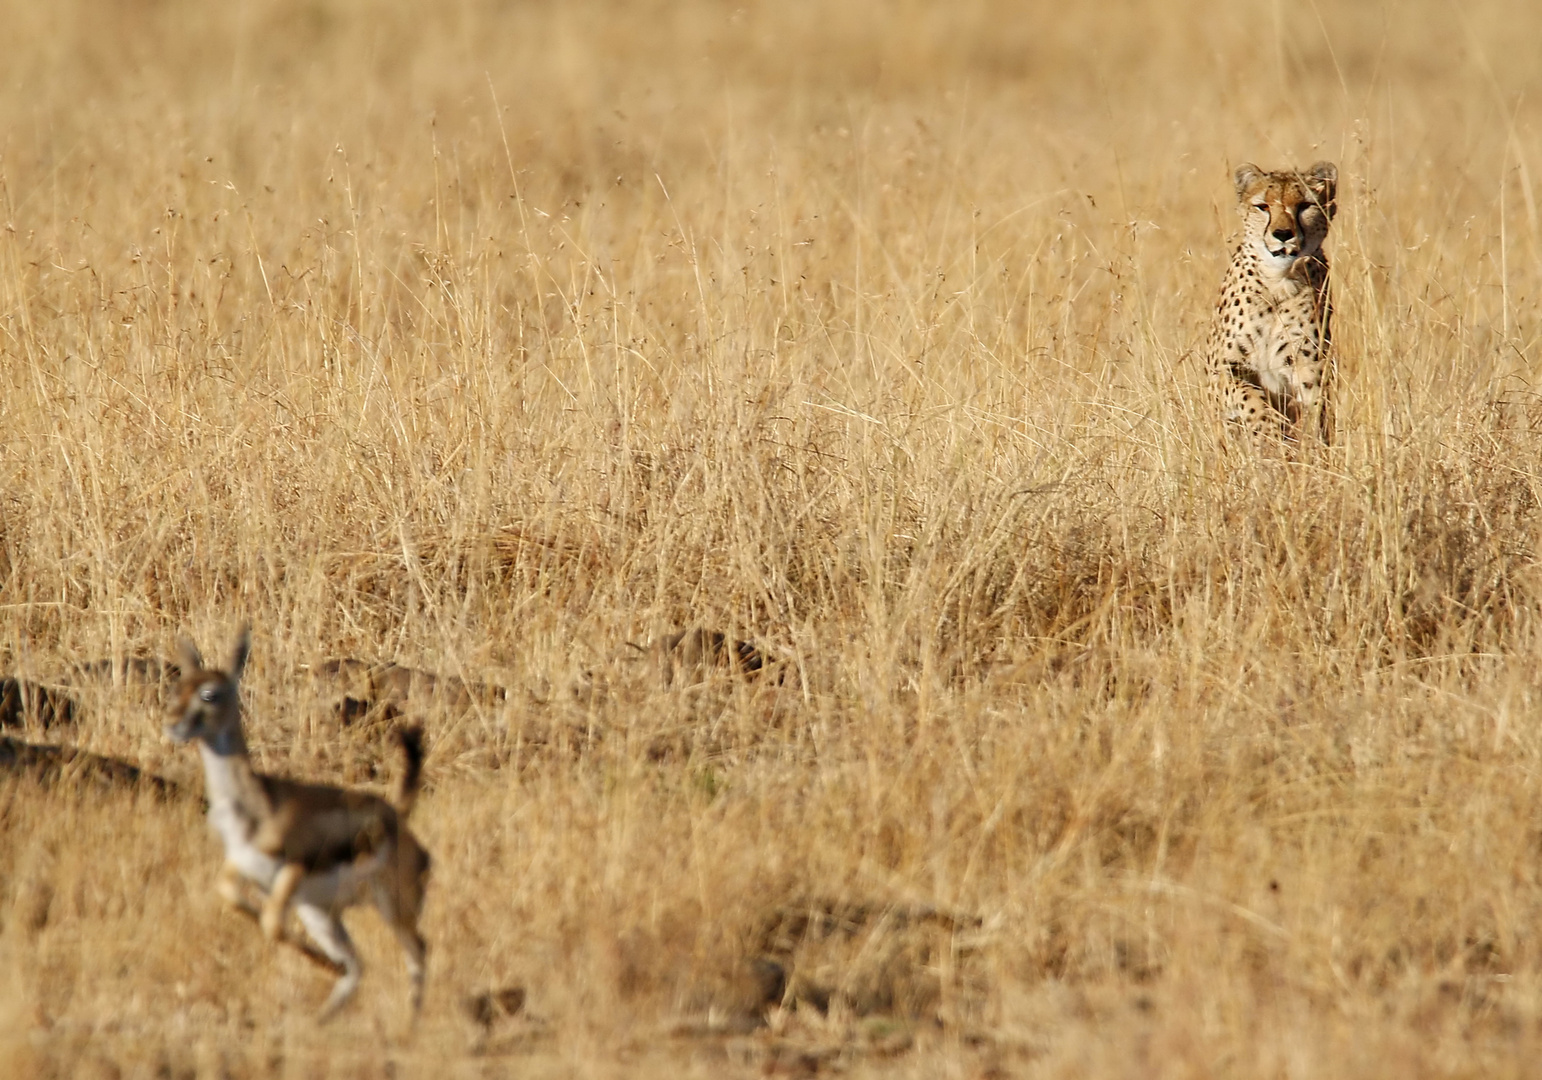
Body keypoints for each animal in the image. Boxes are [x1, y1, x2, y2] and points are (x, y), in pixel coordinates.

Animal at [1202, 158, 1338, 444]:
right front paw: (1267, 427)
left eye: (1305, 206)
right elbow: (1247, 395)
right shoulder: (1224, 368)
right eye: (1262, 207)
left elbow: (1314, 409)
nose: (1283, 234)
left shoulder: (1309, 367)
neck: (1278, 282)